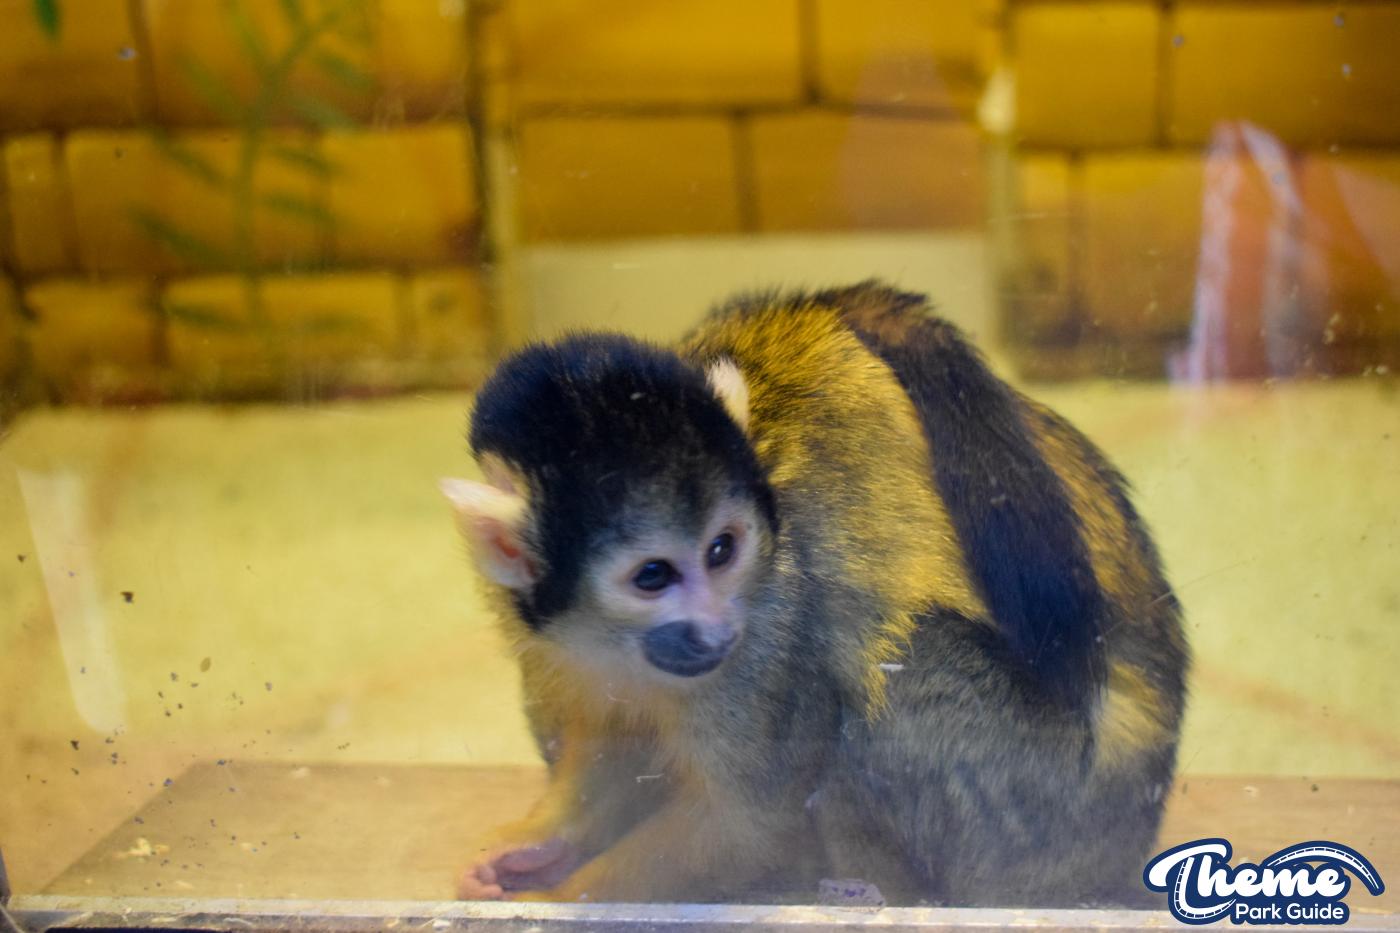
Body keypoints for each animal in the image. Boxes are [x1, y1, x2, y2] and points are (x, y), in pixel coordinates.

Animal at [441, 281, 1188, 907]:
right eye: (652, 576)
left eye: (723, 549)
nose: (716, 631)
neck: (610, 641)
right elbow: (611, 740)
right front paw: (534, 844)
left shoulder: (768, 638)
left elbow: (746, 821)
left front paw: (559, 898)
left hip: (1046, 817)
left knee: (903, 674)